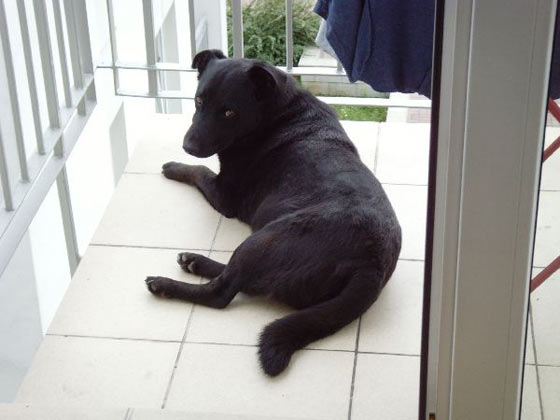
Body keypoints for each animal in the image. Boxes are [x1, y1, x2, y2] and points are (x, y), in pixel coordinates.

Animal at [145, 49, 402, 376]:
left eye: (229, 113)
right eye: (199, 101)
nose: (188, 146)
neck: (278, 112)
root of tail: (371, 264)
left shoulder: (225, 195)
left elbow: (200, 171)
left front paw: (174, 167)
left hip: (268, 238)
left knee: (222, 292)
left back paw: (166, 284)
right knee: (240, 278)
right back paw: (195, 262)